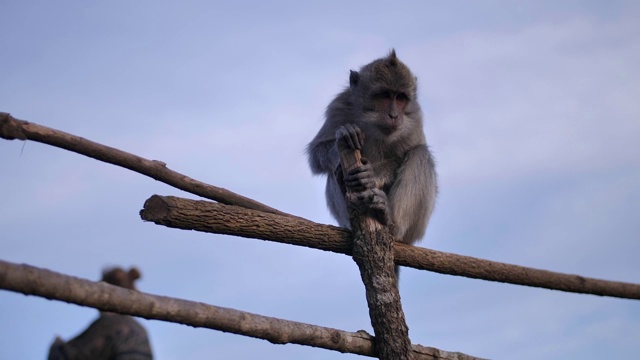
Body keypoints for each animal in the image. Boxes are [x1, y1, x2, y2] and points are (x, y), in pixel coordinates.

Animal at [304, 49, 436, 278]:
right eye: (384, 95)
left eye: (400, 98)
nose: (394, 115)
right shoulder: (339, 105)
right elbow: (316, 152)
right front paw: (345, 136)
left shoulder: (414, 117)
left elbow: (411, 150)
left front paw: (372, 173)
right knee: (333, 172)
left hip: (415, 230)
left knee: (421, 155)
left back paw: (389, 219)